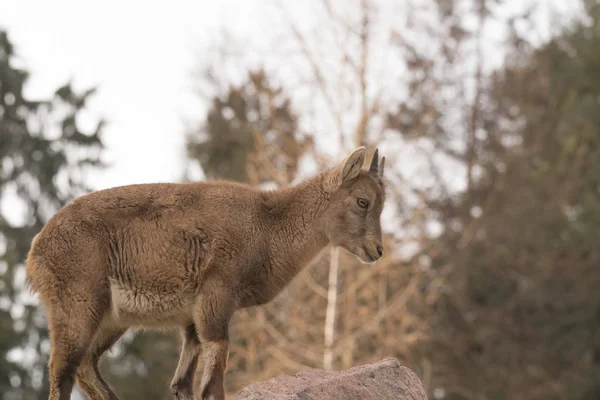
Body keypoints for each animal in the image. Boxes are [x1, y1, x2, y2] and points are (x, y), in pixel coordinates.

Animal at [25, 148, 386, 400]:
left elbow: (181, 384)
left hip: (113, 318)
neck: (268, 226)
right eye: (363, 201)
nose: (377, 250)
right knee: (62, 371)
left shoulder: (192, 319)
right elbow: (211, 384)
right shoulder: (217, 295)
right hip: (78, 302)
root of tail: (37, 249)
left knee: (86, 365)